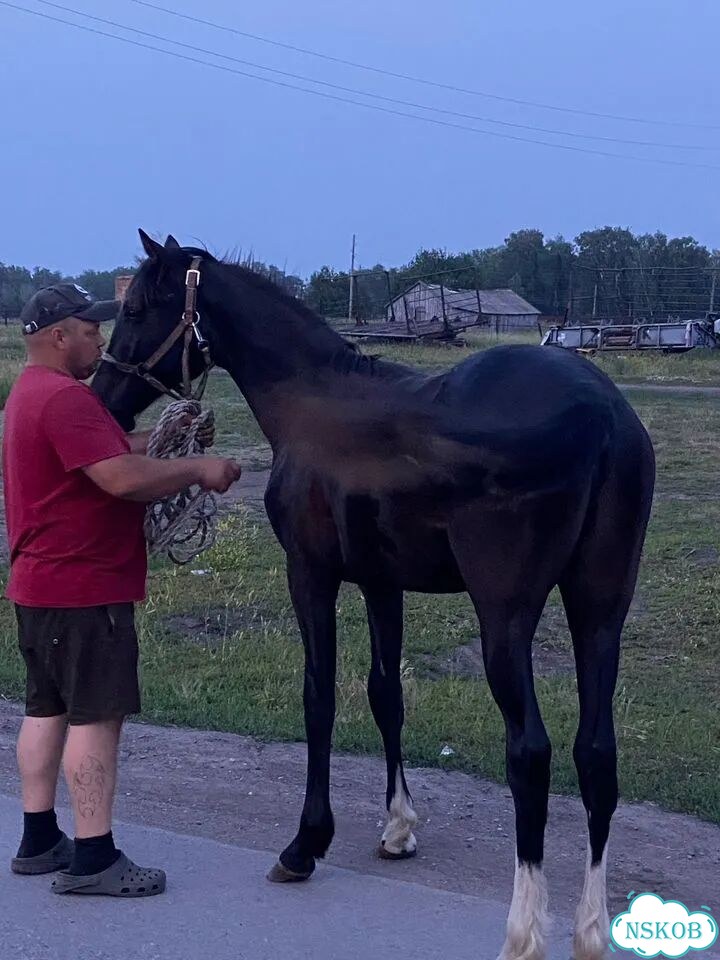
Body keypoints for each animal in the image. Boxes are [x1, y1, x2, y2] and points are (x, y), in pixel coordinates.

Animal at [92, 231, 655, 960]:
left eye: (137, 308)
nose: (102, 395)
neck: (315, 402)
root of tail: (606, 416)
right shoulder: (384, 582)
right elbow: (387, 696)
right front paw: (398, 829)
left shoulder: (310, 573)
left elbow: (320, 697)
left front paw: (306, 843)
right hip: (600, 611)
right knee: (596, 754)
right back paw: (590, 930)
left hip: (506, 618)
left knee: (531, 753)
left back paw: (524, 930)